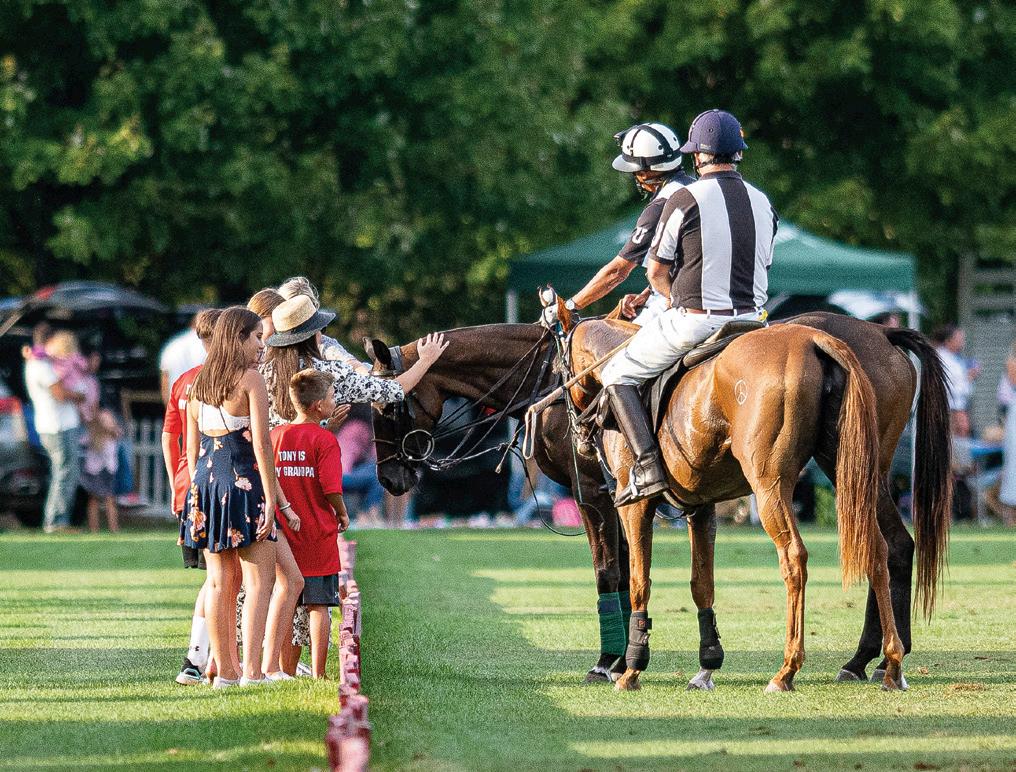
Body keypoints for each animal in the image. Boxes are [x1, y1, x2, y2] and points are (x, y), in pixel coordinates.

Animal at [367, 312, 951, 690]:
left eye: (388, 405)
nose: (391, 478)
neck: (557, 377)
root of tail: (879, 332)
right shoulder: (671, 500)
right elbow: (671, 579)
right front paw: (676, 659)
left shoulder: (599, 496)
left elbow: (615, 574)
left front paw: (612, 662)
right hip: (855, 468)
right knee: (887, 546)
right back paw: (878, 661)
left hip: (779, 483)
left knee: (802, 557)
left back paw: (798, 668)